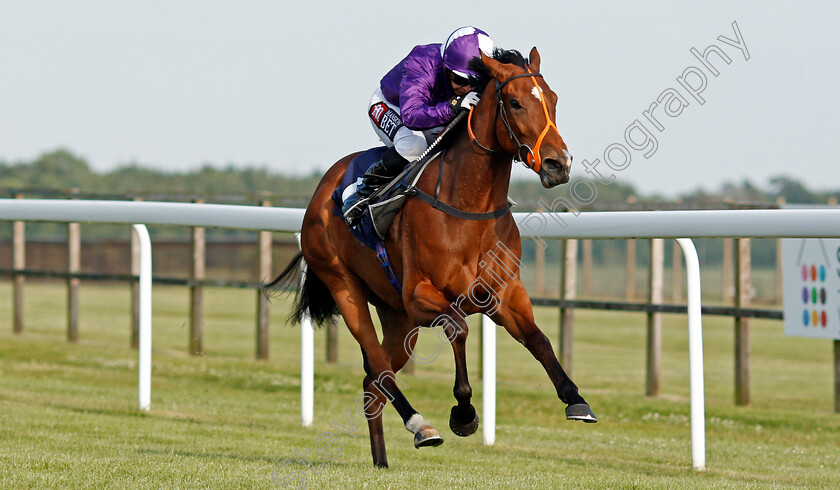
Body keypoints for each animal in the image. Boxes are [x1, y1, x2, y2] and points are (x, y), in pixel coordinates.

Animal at [266, 47, 592, 468]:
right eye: (515, 102)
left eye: (552, 99)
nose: (558, 164)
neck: (469, 208)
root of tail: (324, 187)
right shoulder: (420, 296)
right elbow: (459, 328)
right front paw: (464, 414)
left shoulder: (505, 294)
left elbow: (539, 340)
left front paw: (576, 399)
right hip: (346, 287)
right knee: (379, 368)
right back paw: (421, 425)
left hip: (396, 315)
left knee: (373, 382)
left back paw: (382, 460)